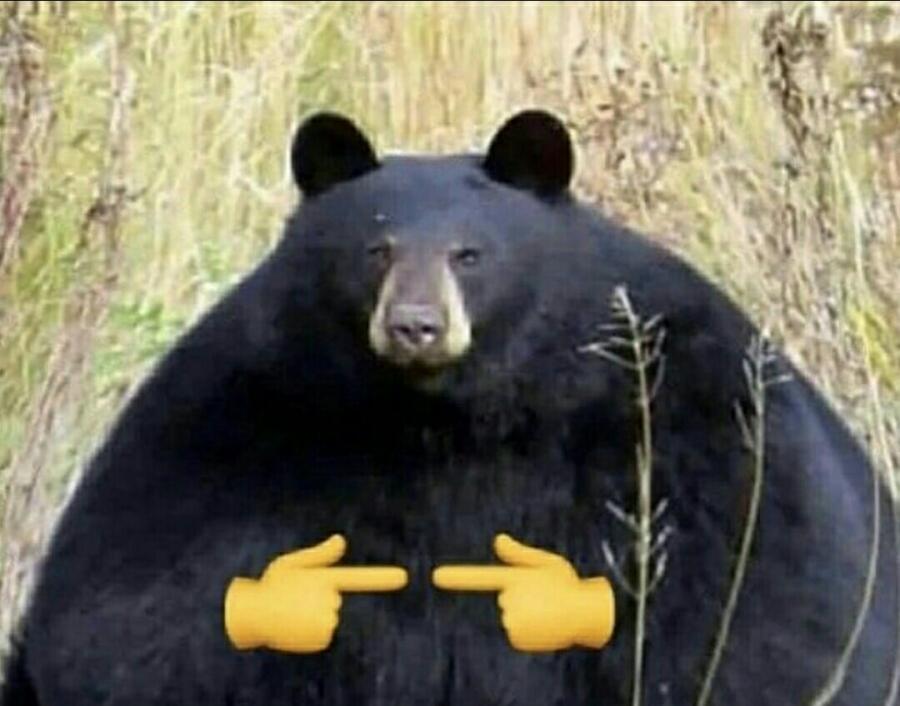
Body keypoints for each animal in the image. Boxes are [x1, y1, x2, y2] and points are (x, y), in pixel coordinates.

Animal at [1, 108, 897, 706]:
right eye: (376, 249)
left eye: (470, 254)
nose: (415, 326)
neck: (450, 418)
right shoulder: (236, 421)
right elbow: (147, 618)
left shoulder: (682, 416)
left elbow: (758, 603)